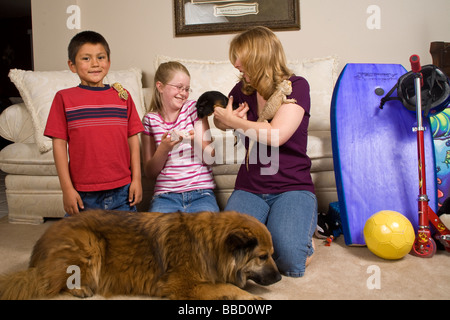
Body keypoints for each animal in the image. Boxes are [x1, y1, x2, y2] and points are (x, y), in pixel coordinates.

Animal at [0, 210, 280, 300]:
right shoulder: (183, 285)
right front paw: (251, 298)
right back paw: (79, 288)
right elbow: (227, 287)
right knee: (50, 283)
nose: (279, 279)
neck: (211, 245)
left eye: (272, 254)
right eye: (262, 256)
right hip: (91, 243)